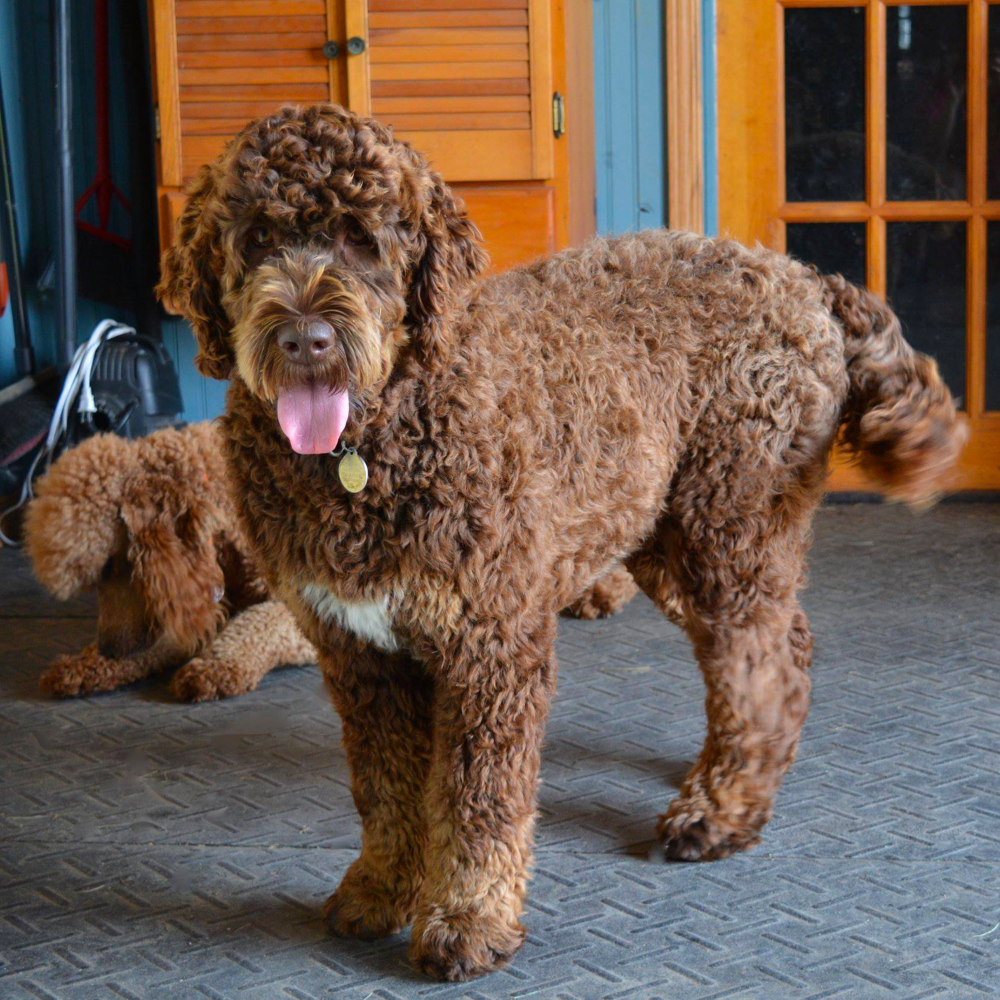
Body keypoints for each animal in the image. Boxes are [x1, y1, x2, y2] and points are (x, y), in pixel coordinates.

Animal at [158, 105, 968, 980]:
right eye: (257, 239)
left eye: (361, 239)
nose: (306, 338)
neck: (371, 446)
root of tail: (800, 275)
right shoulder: (359, 652)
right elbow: (386, 785)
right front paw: (381, 886)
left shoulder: (491, 644)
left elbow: (478, 801)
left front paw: (468, 918)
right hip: (664, 533)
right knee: (777, 647)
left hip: (731, 518)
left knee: (762, 661)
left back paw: (721, 810)